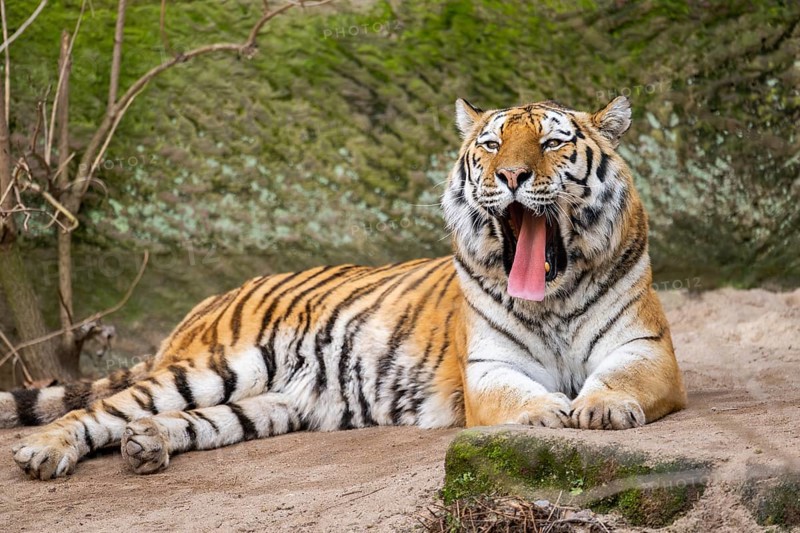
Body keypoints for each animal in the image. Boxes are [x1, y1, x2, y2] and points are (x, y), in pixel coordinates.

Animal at [2, 96, 686, 480]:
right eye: (492, 145)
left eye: (551, 141)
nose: (511, 175)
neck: (556, 294)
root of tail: (206, 301)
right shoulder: (488, 367)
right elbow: (517, 396)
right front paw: (546, 413)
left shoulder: (647, 349)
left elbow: (618, 377)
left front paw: (598, 407)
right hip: (216, 367)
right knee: (98, 409)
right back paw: (43, 454)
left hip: (271, 404)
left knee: (186, 421)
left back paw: (146, 445)